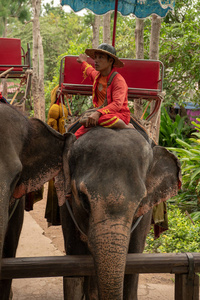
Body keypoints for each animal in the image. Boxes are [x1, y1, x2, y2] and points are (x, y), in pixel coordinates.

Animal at [58, 125, 181, 300]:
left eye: (140, 202)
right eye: (83, 198)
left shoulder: (144, 216)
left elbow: (135, 261)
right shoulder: (66, 207)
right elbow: (73, 265)